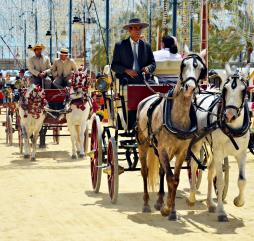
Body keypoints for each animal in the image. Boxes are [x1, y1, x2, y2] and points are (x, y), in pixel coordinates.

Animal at [189, 64, 250, 222]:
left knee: (210, 172)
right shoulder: (219, 152)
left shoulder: (241, 153)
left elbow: (242, 180)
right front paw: (221, 212)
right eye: (225, 89)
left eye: (244, 90)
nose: (229, 115)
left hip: (211, 149)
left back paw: (210, 203)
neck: (232, 128)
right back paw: (191, 197)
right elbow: (221, 182)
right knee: (194, 166)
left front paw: (239, 201)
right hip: (198, 144)